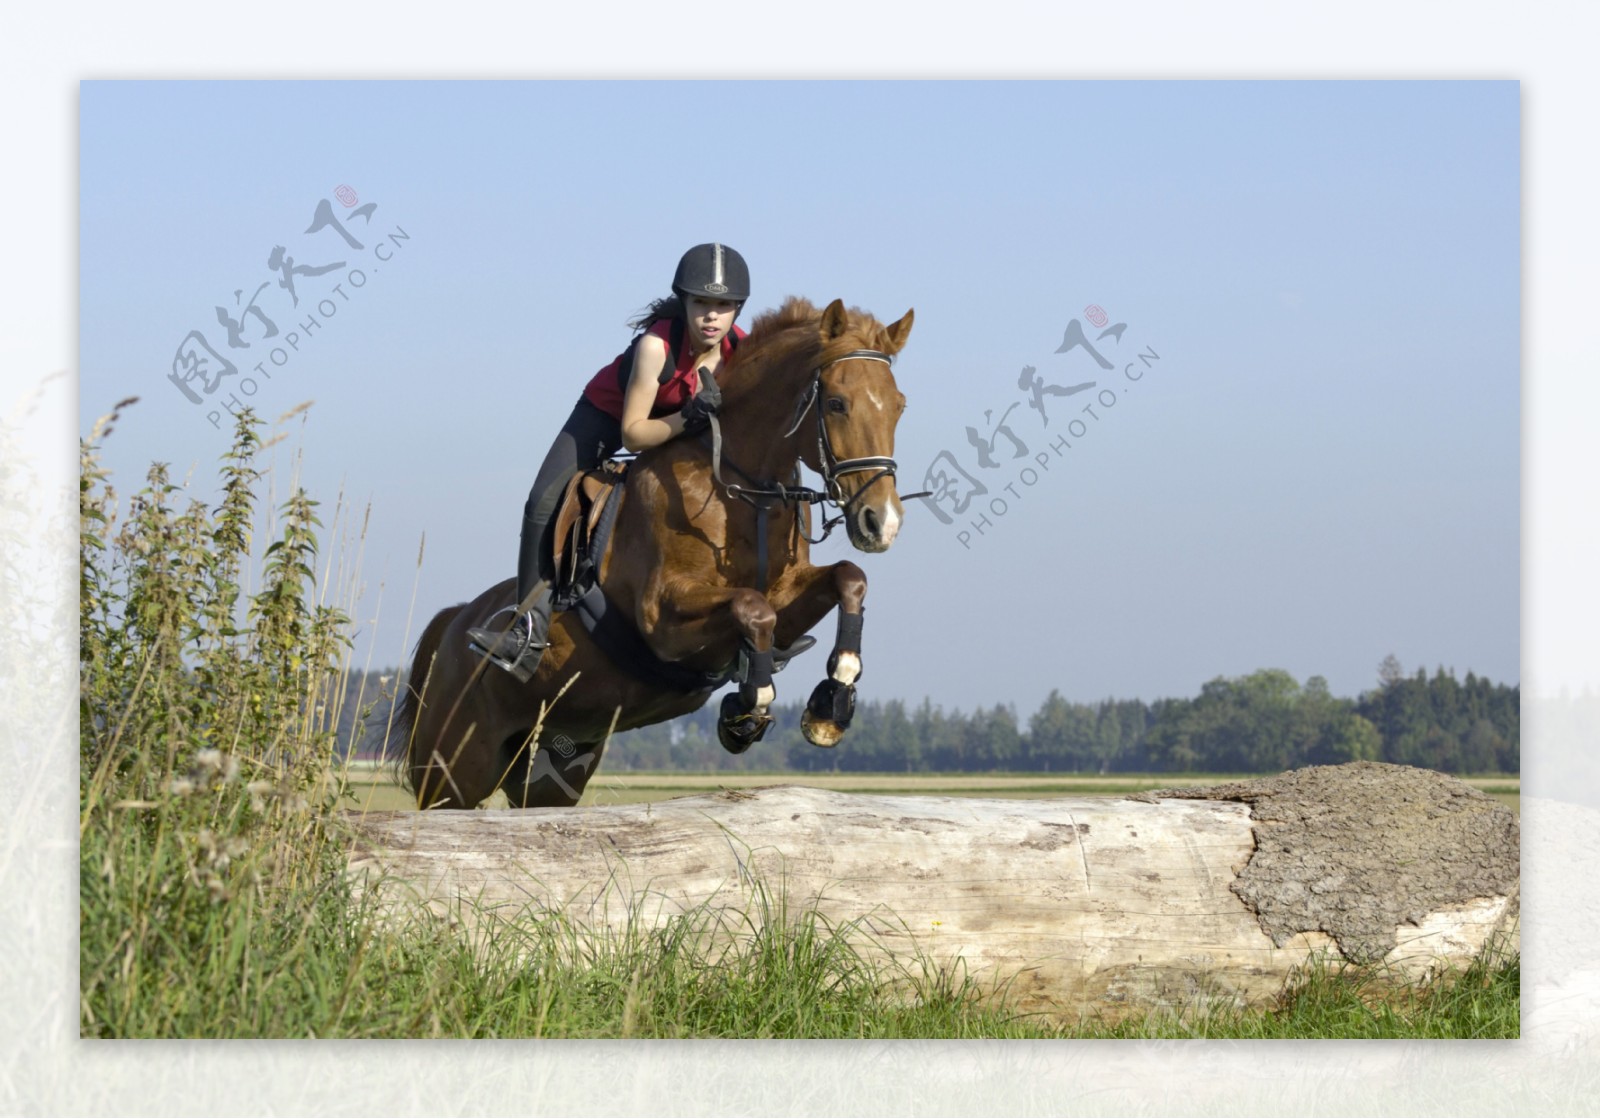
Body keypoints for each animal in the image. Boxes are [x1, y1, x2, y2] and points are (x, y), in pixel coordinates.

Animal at [395, 296, 921, 806]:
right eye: (836, 403)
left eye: (899, 406)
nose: (883, 522)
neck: (742, 486)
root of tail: (455, 622)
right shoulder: (662, 619)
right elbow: (753, 610)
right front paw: (746, 708)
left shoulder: (787, 593)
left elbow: (848, 578)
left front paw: (830, 704)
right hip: (453, 772)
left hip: (552, 771)